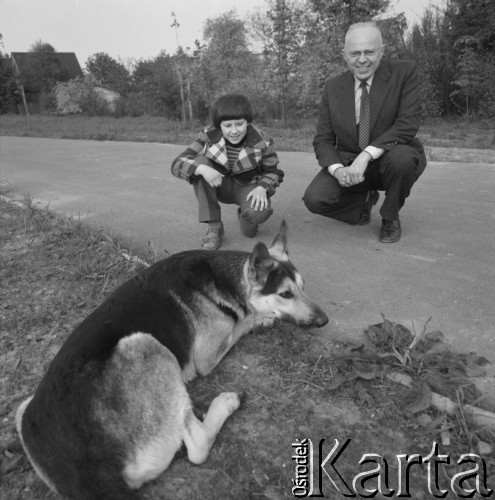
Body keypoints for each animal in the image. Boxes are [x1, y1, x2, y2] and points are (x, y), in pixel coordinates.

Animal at [16, 221, 330, 498]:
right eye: (285, 294)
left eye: (304, 287)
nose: (325, 321)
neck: (227, 281)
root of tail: (88, 477)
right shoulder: (209, 354)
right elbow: (244, 322)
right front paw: (262, 318)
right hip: (147, 345)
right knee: (197, 446)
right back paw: (225, 403)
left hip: (24, 411)